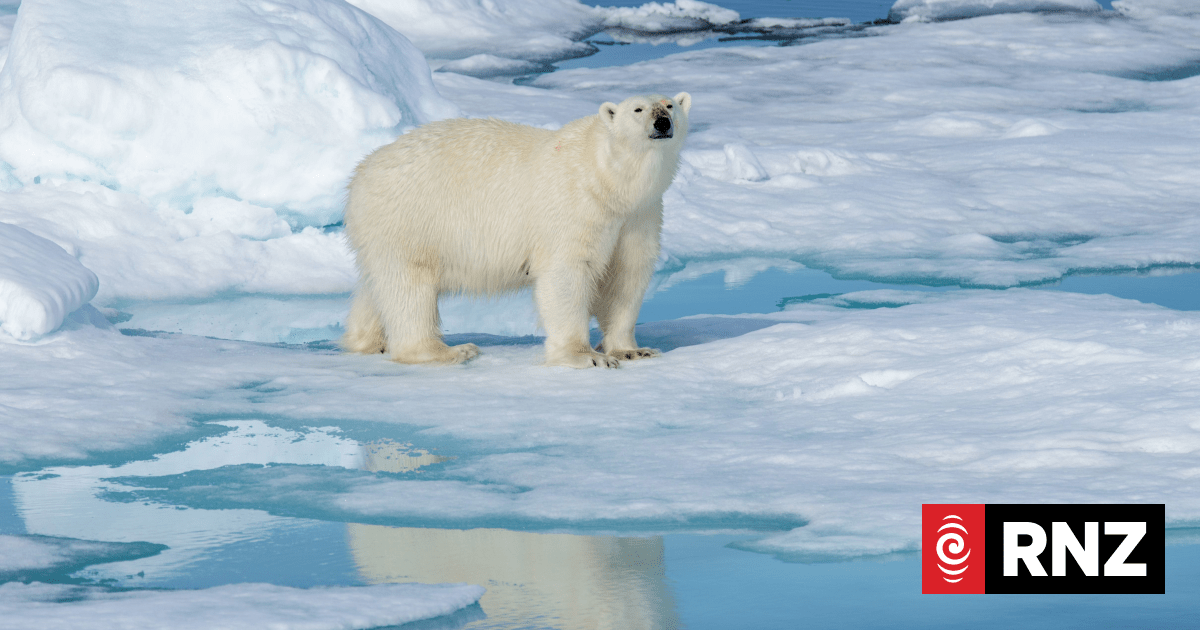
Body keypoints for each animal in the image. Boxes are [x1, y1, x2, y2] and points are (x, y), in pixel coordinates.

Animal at [341, 92, 692, 368]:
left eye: (669, 104)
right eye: (638, 109)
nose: (662, 123)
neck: (608, 181)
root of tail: (360, 172)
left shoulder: (639, 215)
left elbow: (626, 274)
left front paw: (633, 351)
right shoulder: (574, 207)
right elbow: (568, 272)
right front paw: (586, 356)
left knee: (378, 284)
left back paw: (367, 341)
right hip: (411, 217)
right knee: (410, 285)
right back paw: (449, 351)